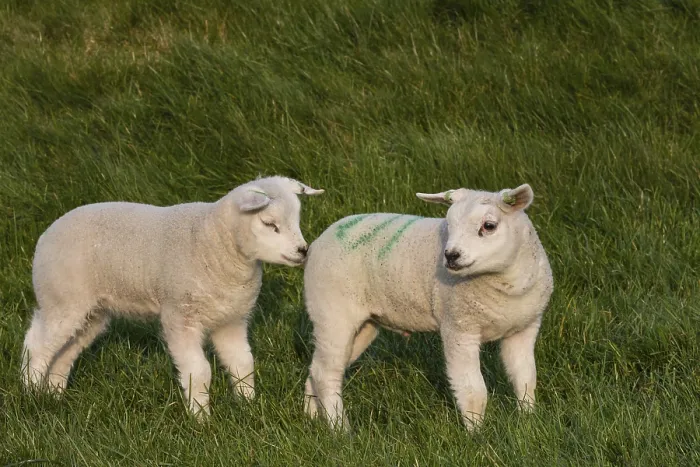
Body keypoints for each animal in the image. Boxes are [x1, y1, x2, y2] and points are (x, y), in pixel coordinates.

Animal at [22, 176, 324, 417]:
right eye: (269, 224)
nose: (303, 251)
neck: (214, 242)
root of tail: (47, 233)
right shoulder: (180, 317)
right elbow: (199, 371)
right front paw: (201, 417)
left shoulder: (230, 320)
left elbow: (243, 364)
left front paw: (248, 406)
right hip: (62, 297)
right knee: (37, 344)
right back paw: (32, 393)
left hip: (90, 312)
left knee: (63, 352)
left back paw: (54, 395)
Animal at [302, 183, 553, 431]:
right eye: (448, 225)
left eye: (489, 226)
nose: (451, 256)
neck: (509, 286)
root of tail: (316, 243)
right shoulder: (459, 329)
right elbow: (473, 391)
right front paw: (477, 434)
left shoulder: (524, 329)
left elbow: (526, 378)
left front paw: (528, 420)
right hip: (331, 313)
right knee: (326, 373)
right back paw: (340, 429)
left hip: (363, 325)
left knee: (317, 368)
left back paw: (312, 416)